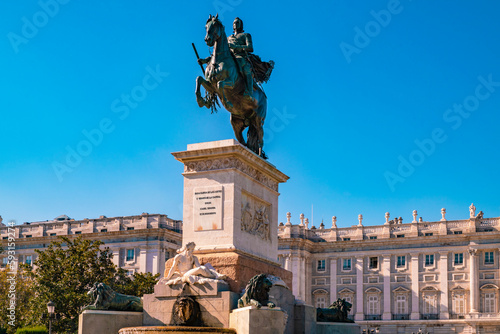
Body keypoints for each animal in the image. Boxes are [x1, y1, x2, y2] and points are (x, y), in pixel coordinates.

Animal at [195, 14, 268, 158]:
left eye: (215, 25)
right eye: (206, 26)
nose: (207, 39)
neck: (219, 60)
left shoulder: (231, 83)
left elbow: (221, 84)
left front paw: (228, 103)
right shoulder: (211, 85)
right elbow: (199, 79)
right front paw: (202, 101)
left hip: (258, 120)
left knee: (261, 139)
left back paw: (258, 154)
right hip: (237, 123)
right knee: (243, 142)